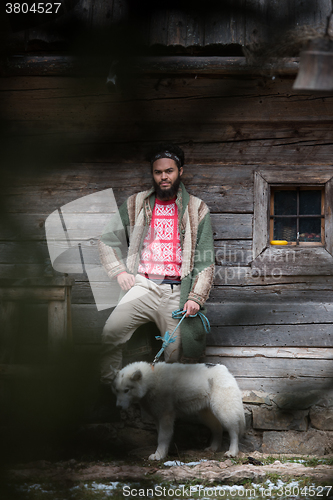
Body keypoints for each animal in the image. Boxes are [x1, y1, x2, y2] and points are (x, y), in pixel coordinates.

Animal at [111, 360, 244, 460]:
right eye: (117, 390)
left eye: (126, 390)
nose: (118, 407)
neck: (152, 380)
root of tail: (224, 369)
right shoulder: (157, 417)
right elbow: (162, 435)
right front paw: (164, 452)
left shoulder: (165, 416)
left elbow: (162, 436)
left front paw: (158, 455)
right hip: (206, 415)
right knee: (218, 428)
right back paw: (214, 448)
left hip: (223, 411)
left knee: (234, 431)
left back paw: (232, 452)